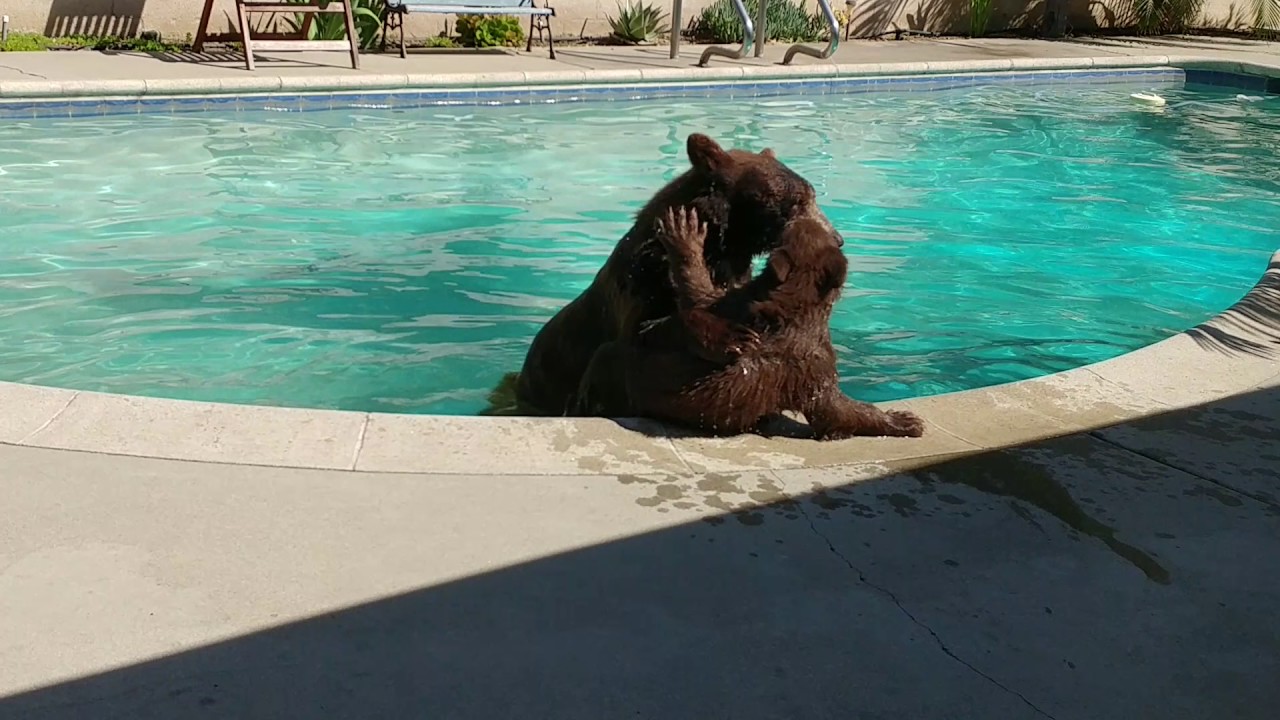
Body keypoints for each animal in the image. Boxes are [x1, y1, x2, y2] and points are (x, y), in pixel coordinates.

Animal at [484, 132, 842, 417]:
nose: (837, 238)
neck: (721, 248)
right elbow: (643, 329)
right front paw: (731, 337)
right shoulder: (640, 283)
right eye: (796, 201)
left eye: (810, 196)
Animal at [573, 206, 926, 441]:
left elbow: (698, 294)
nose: (802, 216)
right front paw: (902, 421)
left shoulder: (731, 304)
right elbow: (834, 410)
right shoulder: (816, 362)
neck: (789, 307)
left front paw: (685, 240)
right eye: (805, 227)